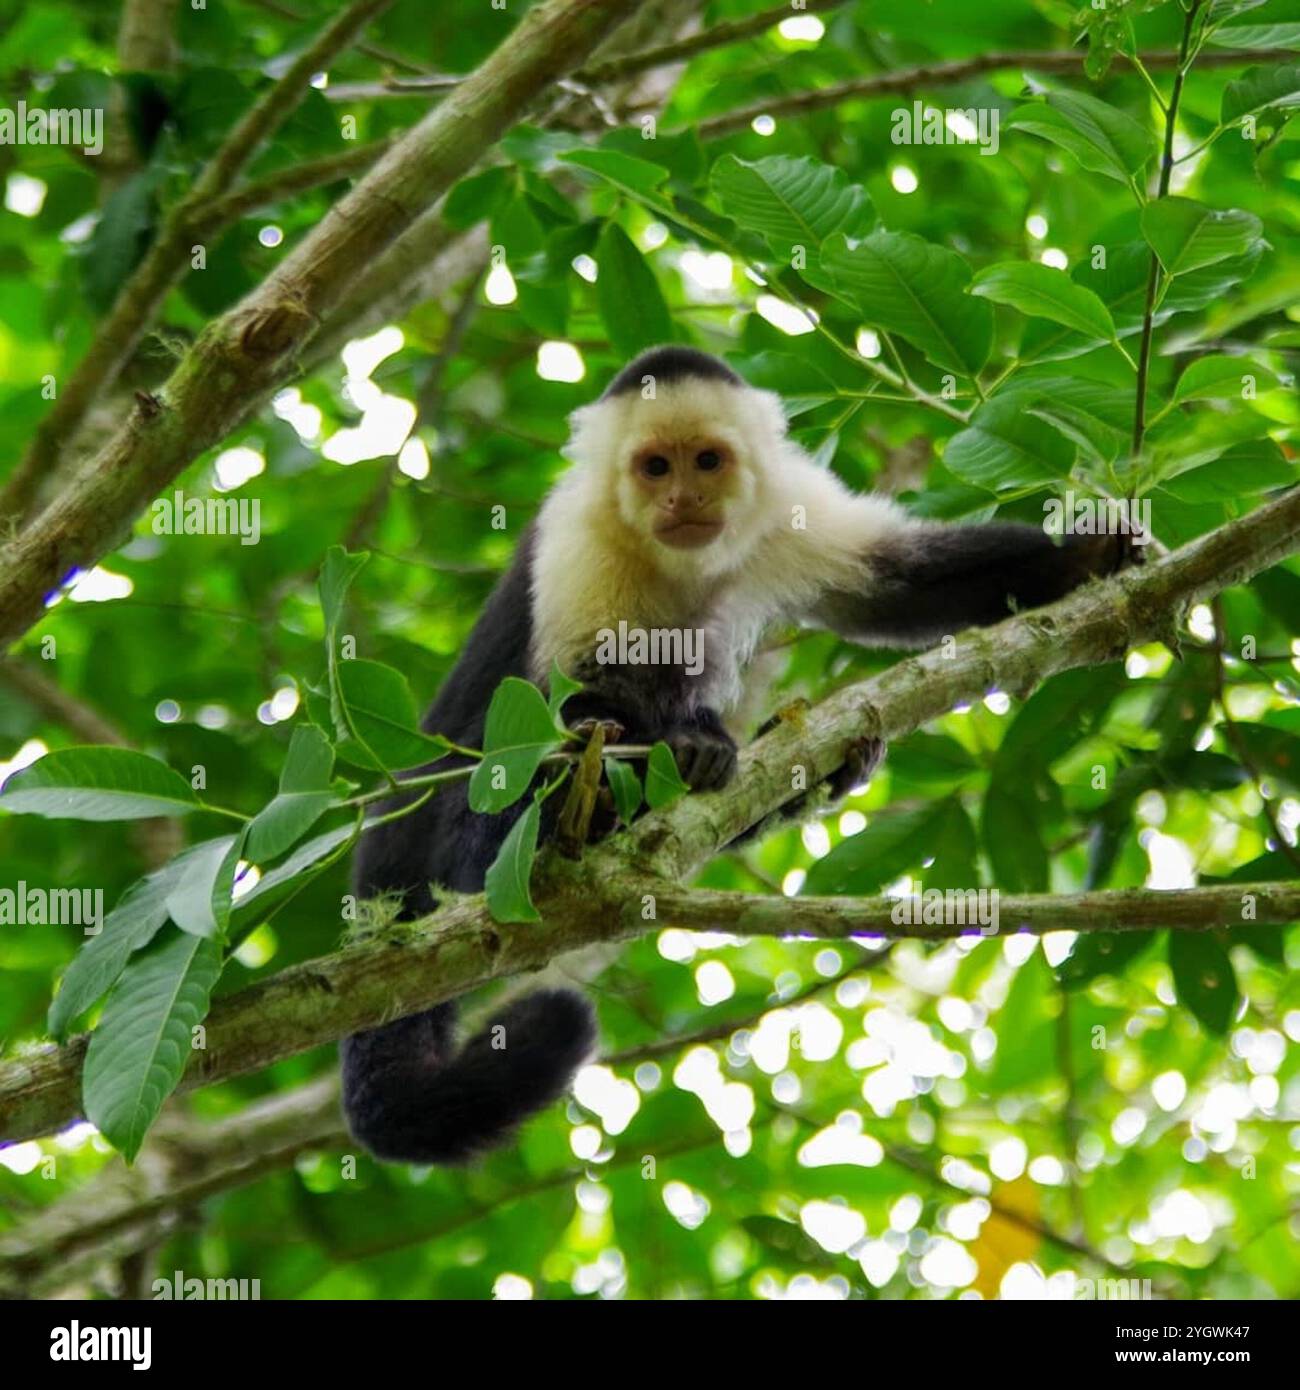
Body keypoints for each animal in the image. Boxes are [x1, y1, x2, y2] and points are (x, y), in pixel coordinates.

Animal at [340, 344, 1134, 1162]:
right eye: (655, 467)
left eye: (707, 461)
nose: (683, 498)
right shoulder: (580, 530)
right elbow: (576, 697)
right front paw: (681, 742)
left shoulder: (790, 508)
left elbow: (899, 583)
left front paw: (1081, 558)